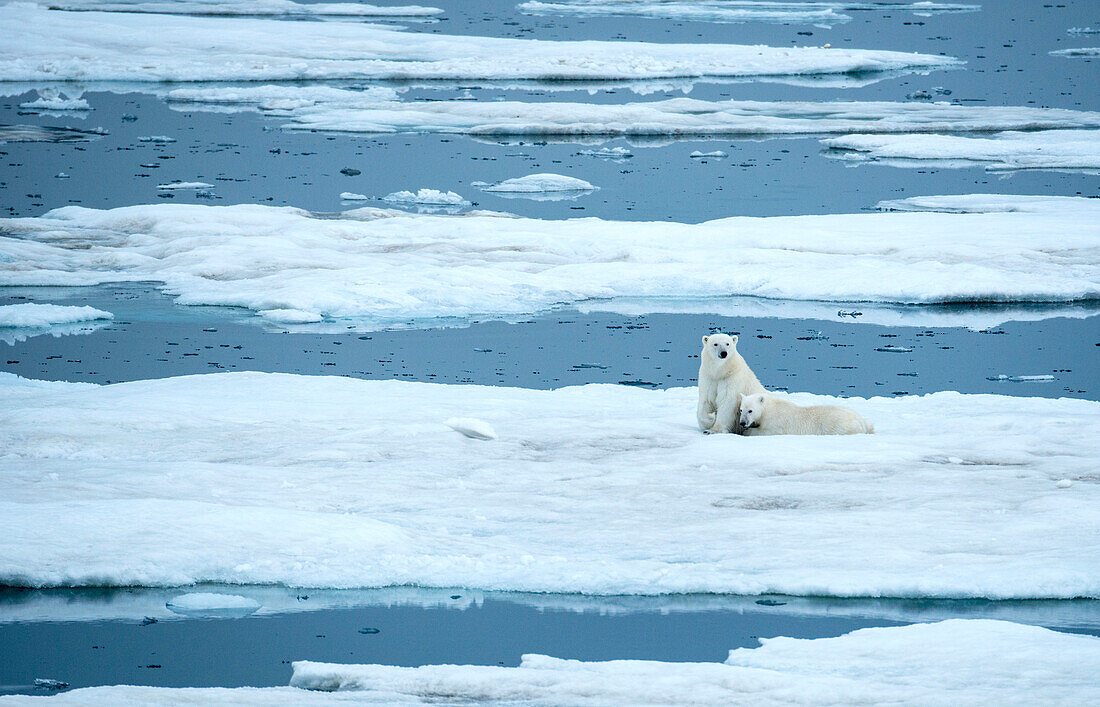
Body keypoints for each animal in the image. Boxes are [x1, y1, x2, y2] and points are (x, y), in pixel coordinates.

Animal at [739, 393, 875, 437]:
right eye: (741, 410)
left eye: (750, 410)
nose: (742, 423)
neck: (768, 408)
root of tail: (863, 422)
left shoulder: (776, 423)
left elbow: (766, 432)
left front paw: (749, 431)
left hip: (839, 426)